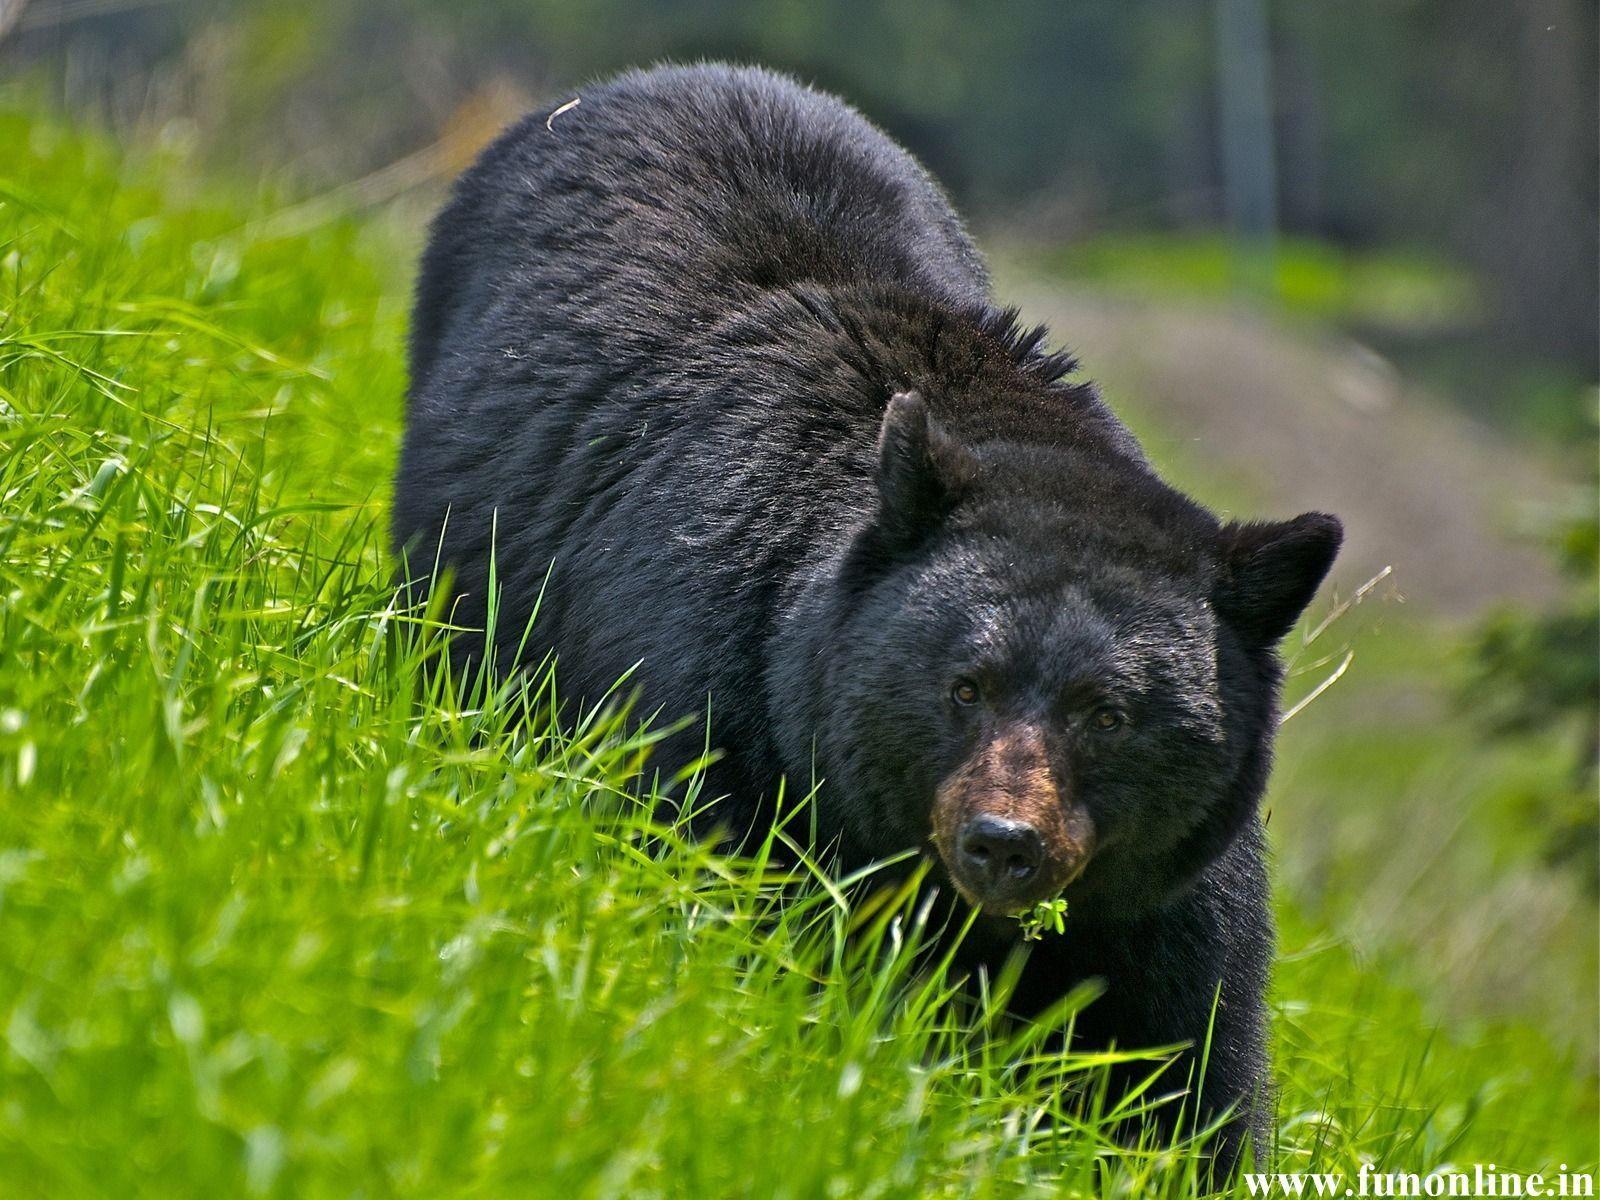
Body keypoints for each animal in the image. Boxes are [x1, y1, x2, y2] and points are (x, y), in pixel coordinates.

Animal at [392, 62, 1342, 1174]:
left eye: (1109, 714)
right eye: (964, 686)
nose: (1002, 843)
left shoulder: (1165, 898)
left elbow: (1184, 1066)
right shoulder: (718, 710)